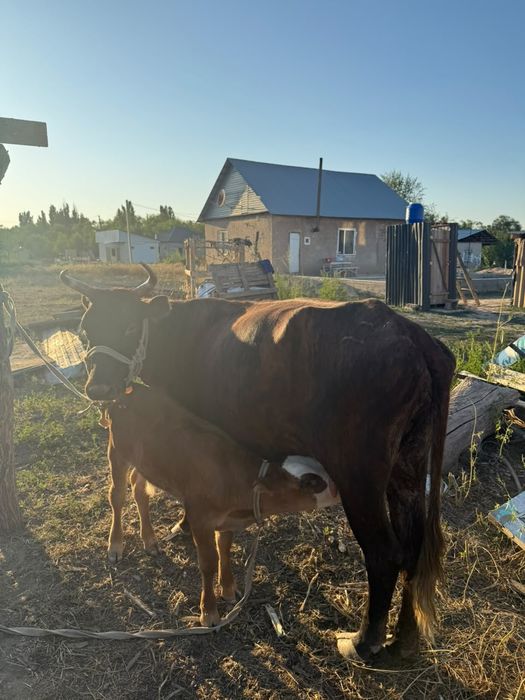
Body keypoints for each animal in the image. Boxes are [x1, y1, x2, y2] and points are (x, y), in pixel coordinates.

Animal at [103, 383, 339, 626]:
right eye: (312, 482)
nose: (338, 487)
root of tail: (128, 392)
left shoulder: (226, 520)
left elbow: (224, 549)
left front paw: (228, 589)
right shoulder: (200, 518)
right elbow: (208, 563)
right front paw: (209, 612)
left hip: (148, 463)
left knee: (139, 489)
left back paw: (149, 540)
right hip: (117, 453)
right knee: (117, 495)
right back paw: (115, 545)